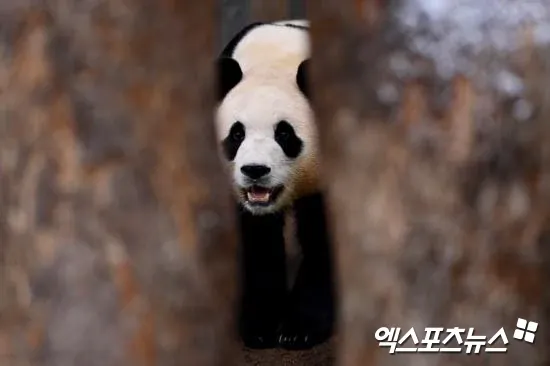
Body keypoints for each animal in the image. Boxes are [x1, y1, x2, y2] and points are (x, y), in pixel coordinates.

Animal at [218, 20, 334, 352]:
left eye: (284, 134)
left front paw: (300, 330)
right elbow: (258, 246)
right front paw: (259, 326)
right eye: (236, 134)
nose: (255, 170)